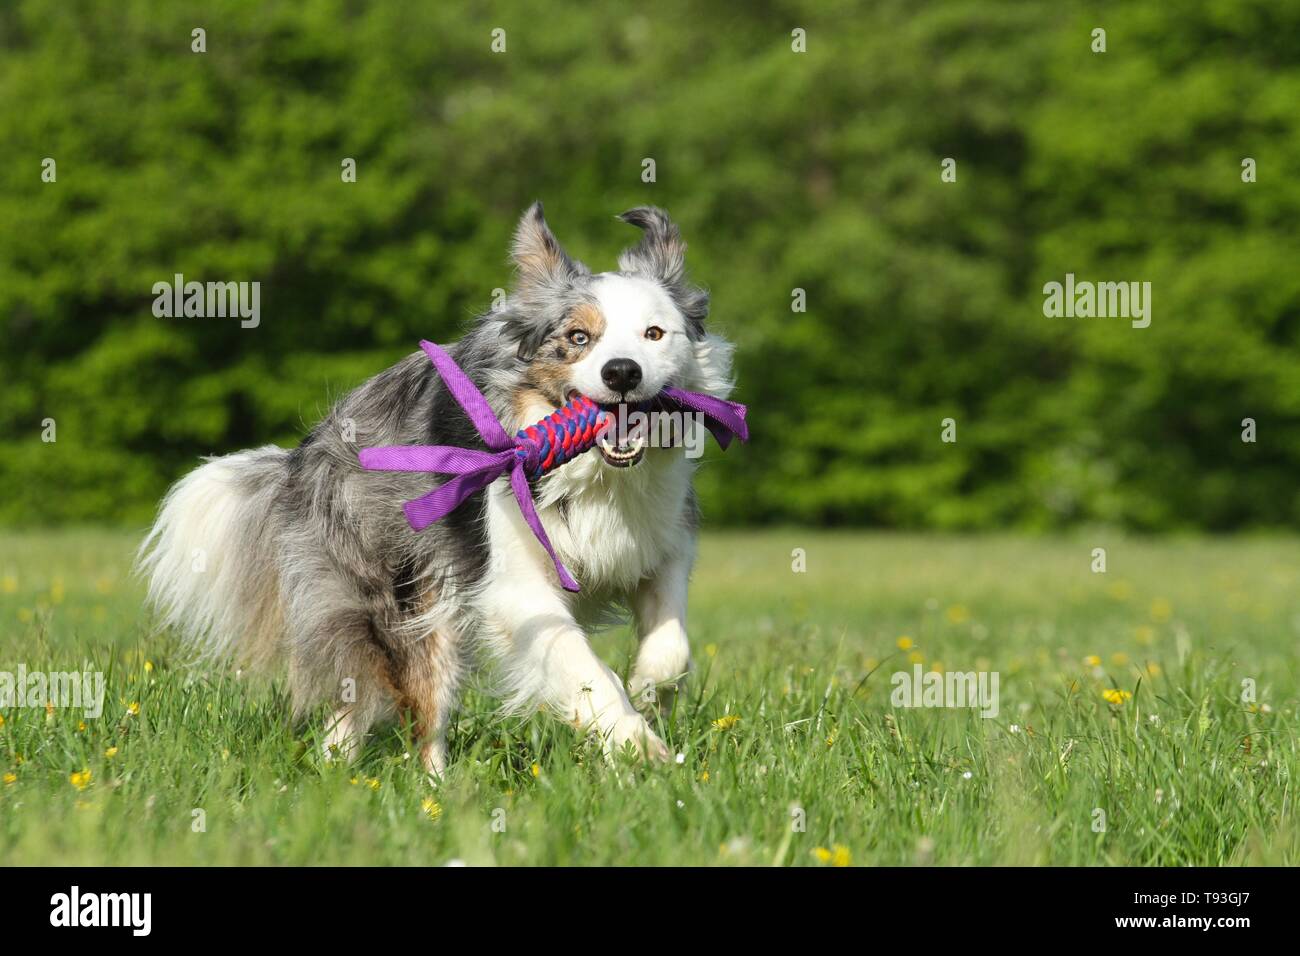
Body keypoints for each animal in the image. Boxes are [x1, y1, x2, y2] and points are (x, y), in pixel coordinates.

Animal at [141, 204, 738, 780]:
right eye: (578, 338)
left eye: (654, 334)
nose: (622, 373)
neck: (599, 476)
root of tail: (302, 455)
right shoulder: (514, 582)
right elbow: (578, 661)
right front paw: (638, 744)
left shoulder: (664, 541)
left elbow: (673, 648)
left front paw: (649, 697)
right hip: (408, 595)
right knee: (409, 701)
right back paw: (427, 791)